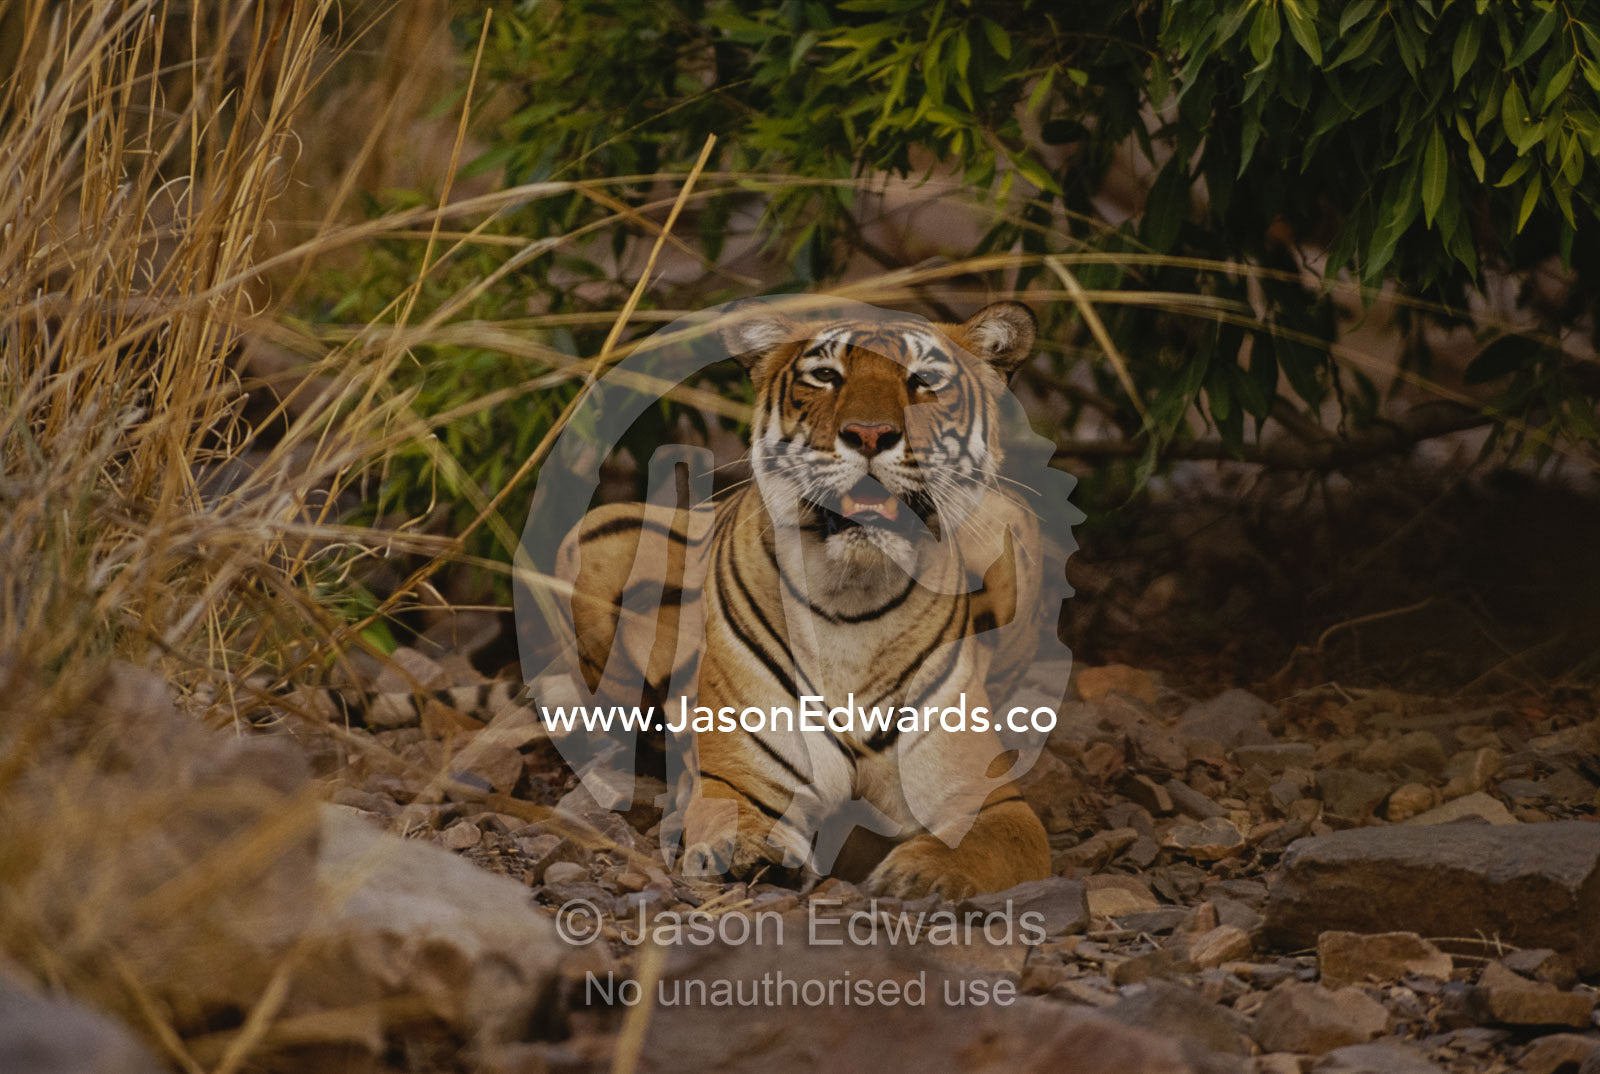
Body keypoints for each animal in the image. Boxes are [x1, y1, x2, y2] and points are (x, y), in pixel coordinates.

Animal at [554, 301, 1055, 899]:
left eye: (925, 380)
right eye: (825, 375)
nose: (869, 434)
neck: (854, 603)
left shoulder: (988, 798)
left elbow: (984, 844)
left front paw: (919, 875)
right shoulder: (742, 778)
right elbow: (734, 820)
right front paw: (746, 854)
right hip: (597, 531)